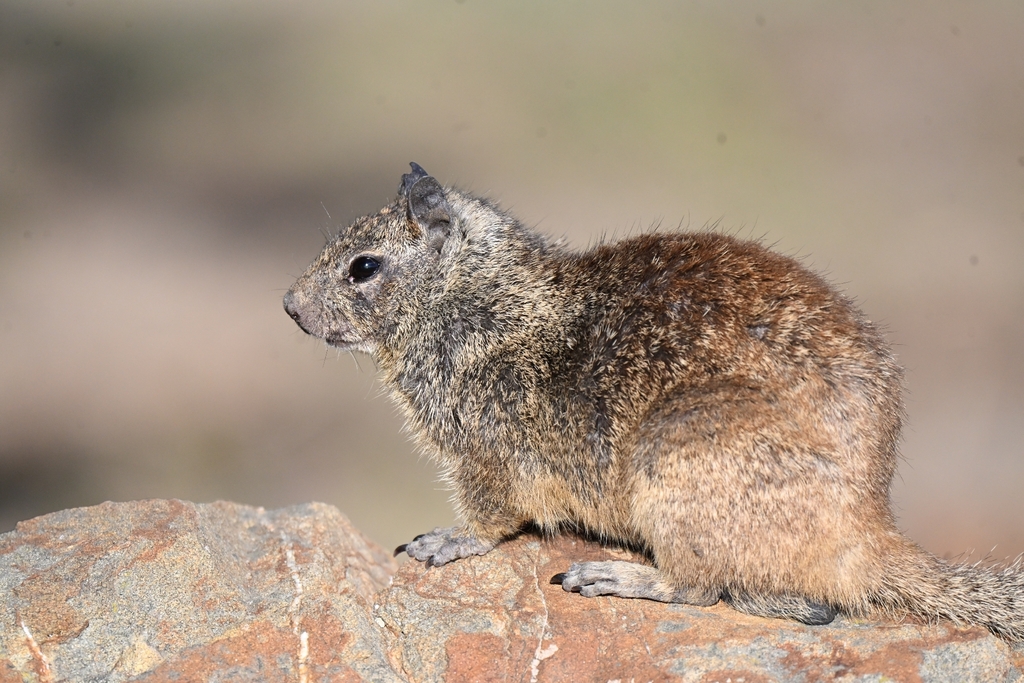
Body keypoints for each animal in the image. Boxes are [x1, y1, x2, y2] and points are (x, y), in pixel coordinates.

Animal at [284, 162, 1023, 640]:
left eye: (363, 267)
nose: (289, 305)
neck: (480, 299)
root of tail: (869, 526)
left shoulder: (485, 450)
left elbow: (490, 518)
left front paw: (440, 541)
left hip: (675, 467)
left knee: (699, 586)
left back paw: (612, 576)